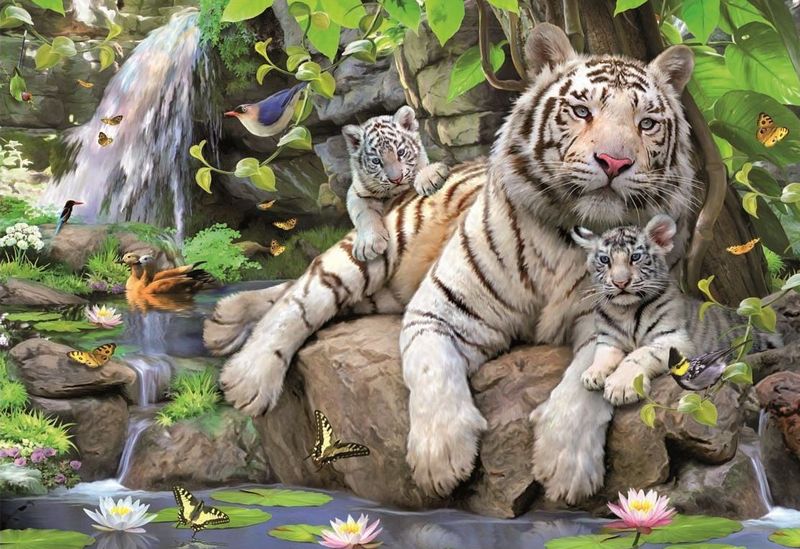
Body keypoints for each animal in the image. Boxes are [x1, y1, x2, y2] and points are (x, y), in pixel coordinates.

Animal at [343, 106, 450, 261]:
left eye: (401, 152)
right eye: (376, 161)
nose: (396, 179)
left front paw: (429, 177)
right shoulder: (356, 192)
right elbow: (363, 214)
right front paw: (368, 244)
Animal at [573, 214, 781, 399]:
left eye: (635, 257)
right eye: (605, 260)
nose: (620, 283)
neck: (625, 310)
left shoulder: (673, 338)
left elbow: (639, 354)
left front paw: (620, 387)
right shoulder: (609, 339)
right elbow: (603, 354)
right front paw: (592, 374)